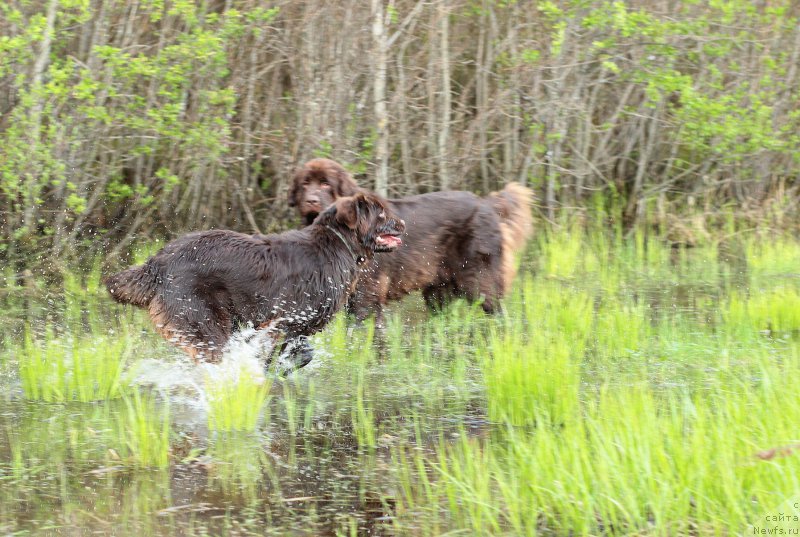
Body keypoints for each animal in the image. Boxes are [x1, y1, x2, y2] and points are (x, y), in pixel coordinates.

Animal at [105, 191, 404, 366]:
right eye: (380, 213)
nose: (402, 223)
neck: (337, 244)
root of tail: (159, 262)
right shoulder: (287, 319)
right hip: (203, 320)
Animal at [288, 156, 532, 322]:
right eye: (304, 184)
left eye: (325, 184)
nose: (311, 200)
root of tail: (487, 204)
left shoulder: (367, 298)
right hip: (439, 289)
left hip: (480, 280)